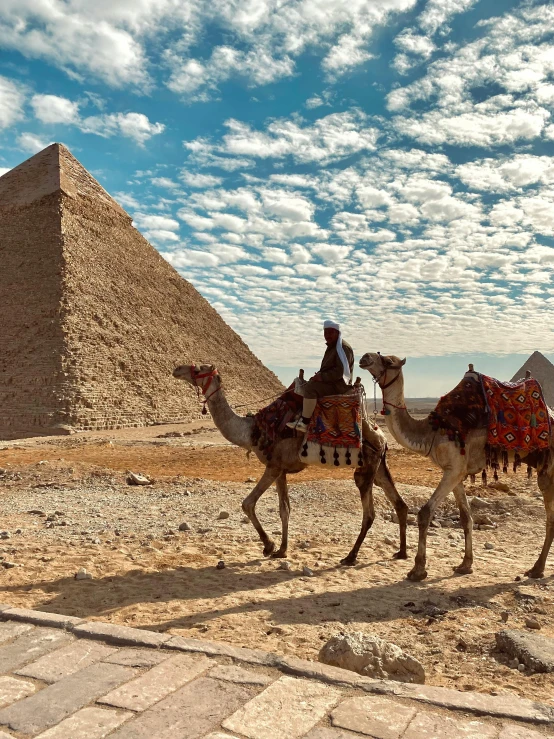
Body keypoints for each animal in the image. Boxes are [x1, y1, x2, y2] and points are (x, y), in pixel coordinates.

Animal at [174, 364, 410, 568]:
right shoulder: (281, 469)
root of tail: (380, 435)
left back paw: (351, 556)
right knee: (400, 503)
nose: (177, 369)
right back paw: (401, 552)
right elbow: (284, 509)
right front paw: (282, 550)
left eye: (198, 369)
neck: (252, 430)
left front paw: (269, 546)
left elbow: (248, 503)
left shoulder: (272, 467)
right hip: (378, 466)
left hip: (366, 469)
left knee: (369, 513)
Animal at [358, 354, 552, 584]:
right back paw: (537, 569)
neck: (431, 431)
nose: (365, 358)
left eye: (388, 361)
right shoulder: (456, 472)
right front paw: (465, 565)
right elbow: (466, 517)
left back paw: (537, 569)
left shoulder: (454, 470)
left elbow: (425, 513)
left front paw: (417, 570)